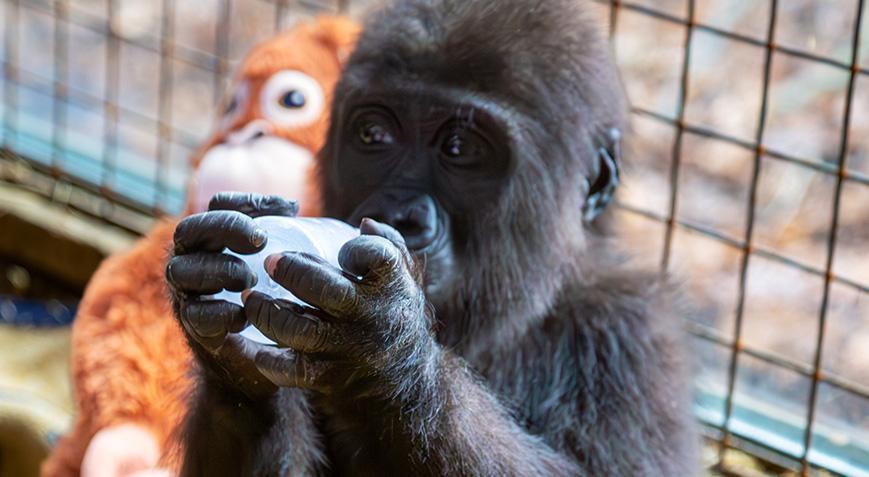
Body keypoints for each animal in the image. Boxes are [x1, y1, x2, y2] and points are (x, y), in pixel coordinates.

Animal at [168, 0, 700, 472]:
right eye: (374, 135)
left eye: (459, 148)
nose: (398, 214)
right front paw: (227, 365)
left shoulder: (630, 333)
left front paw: (385, 353)